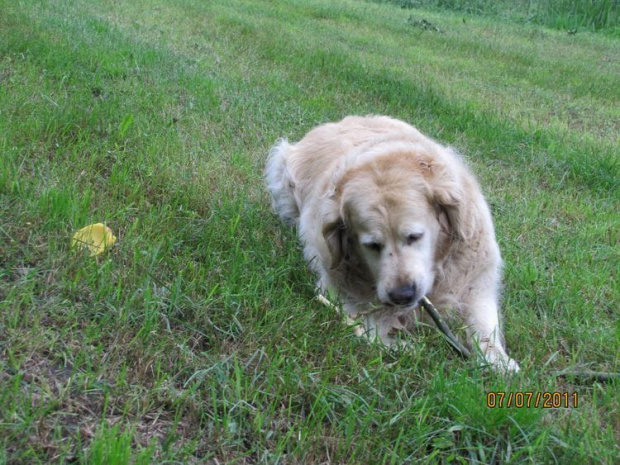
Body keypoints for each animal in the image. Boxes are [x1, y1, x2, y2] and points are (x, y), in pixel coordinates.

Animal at [266, 116, 520, 374]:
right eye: (372, 245)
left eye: (415, 236)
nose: (402, 295)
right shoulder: (336, 289)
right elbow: (367, 325)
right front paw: (403, 347)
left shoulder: (477, 280)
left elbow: (484, 323)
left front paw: (498, 361)